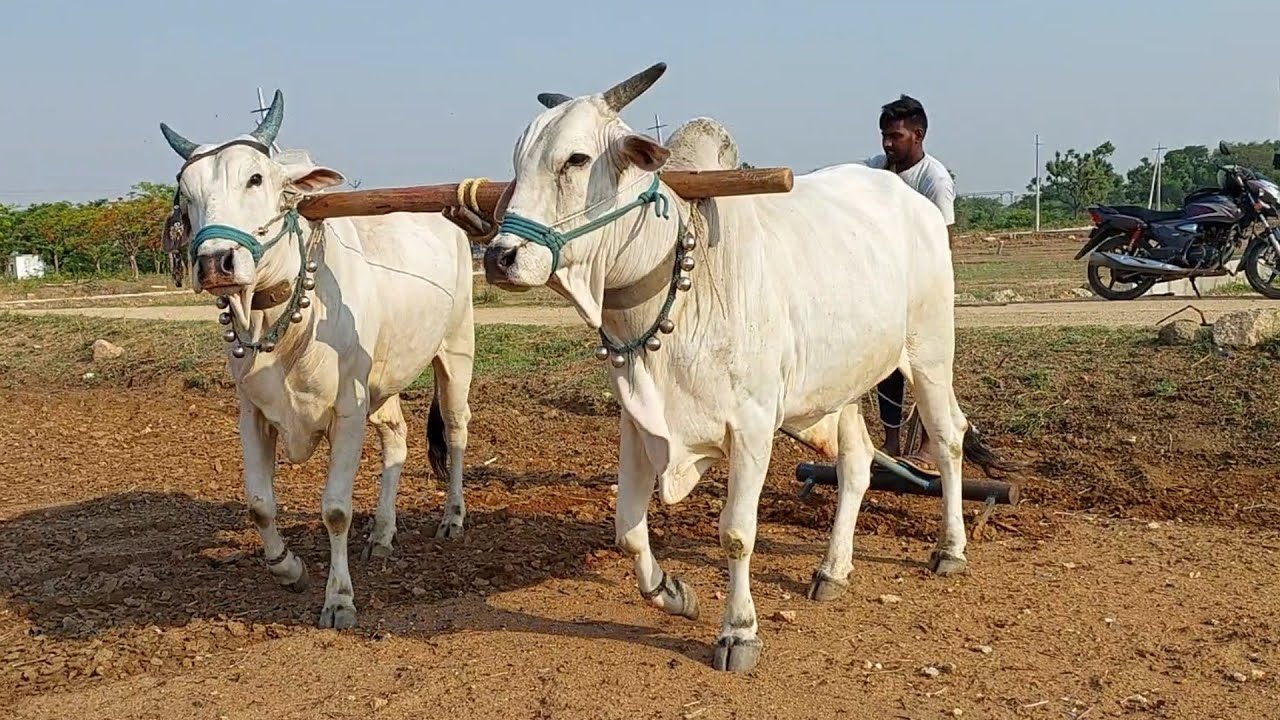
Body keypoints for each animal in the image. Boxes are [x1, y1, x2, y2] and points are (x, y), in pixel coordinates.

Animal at [158, 91, 476, 629]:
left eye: (255, 178)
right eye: (186, 192)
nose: (215, 263)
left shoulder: (347, 412)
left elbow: (335, 510)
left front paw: (340, 599)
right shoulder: (253, 412)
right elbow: (259, 504)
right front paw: (288, 568)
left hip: (455, 350)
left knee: (454, 431)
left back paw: (452, 516)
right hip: (382, 382)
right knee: (397, 438)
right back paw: (383, 534)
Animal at [481, 63, 1012, 672]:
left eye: (576, 159)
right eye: (516, 161)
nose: (498, 257)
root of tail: (911, 201)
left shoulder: (752, 428)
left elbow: (736, 533)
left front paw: (738, 631)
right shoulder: (638, 424)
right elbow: (626, 530)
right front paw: (672, 591)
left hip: (929, 355)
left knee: (948, 439)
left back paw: (950, 549)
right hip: (842, 382)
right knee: (857, 463)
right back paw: (833, 569)